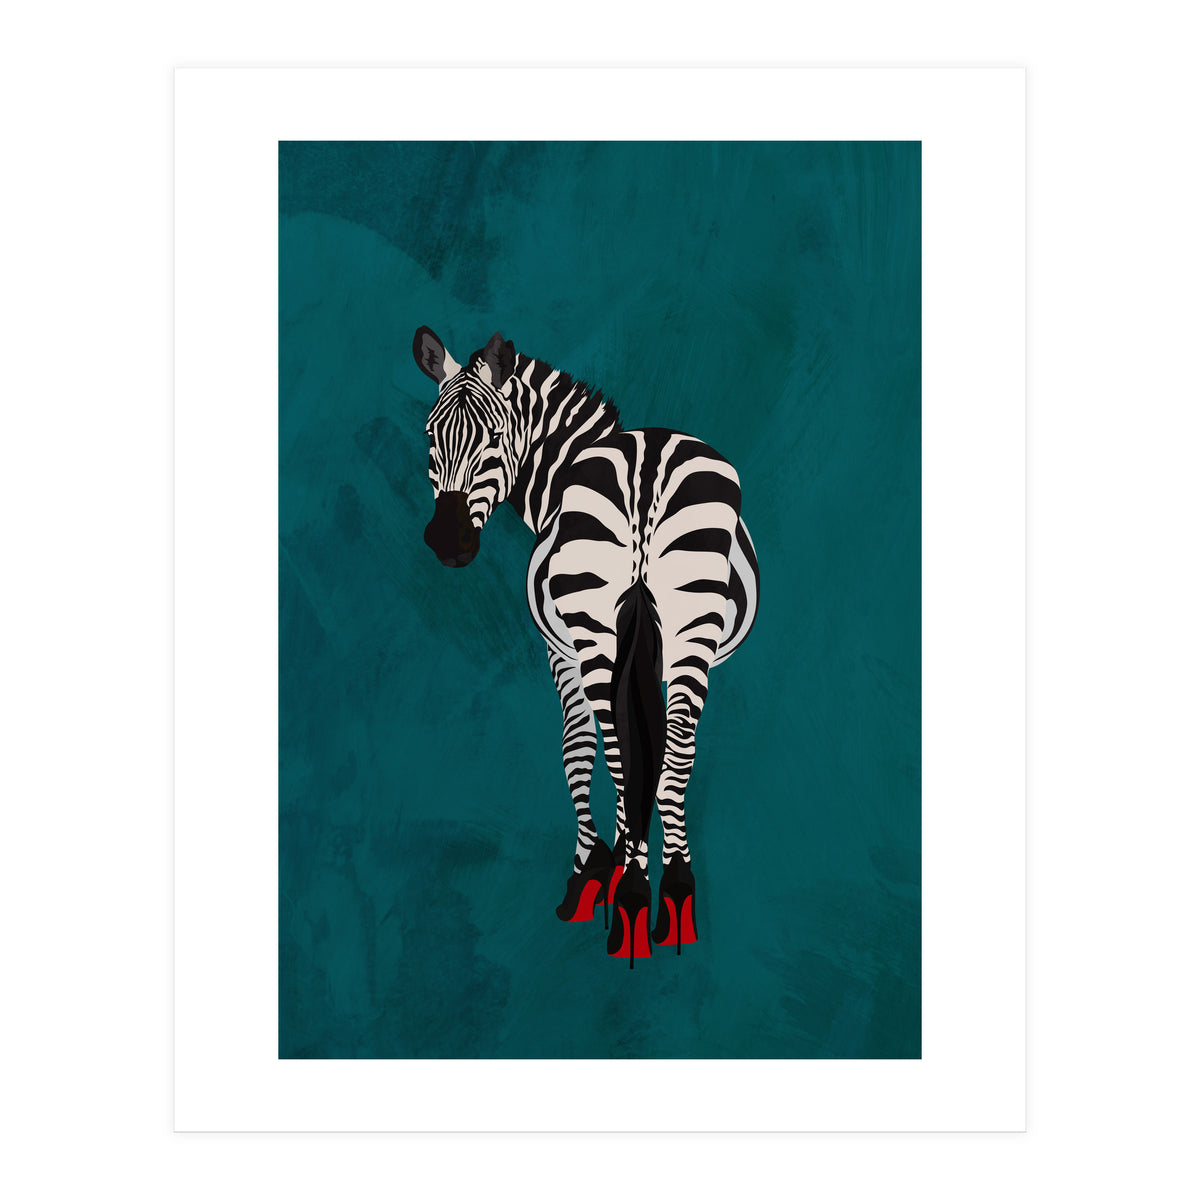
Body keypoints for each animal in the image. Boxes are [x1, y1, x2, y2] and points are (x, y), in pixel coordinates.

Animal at [413, 326, 759, 964]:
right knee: (673, 751)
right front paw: (623, 864)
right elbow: (645, 748)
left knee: (624, 750)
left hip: (598, 626)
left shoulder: (563, 651)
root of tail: (647, 463)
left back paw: (631, 900)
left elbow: (579, 748)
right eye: (430, 437)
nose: (447, 541)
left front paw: (594, 872)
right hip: (690, 627)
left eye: (493, 437)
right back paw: (670, 896)